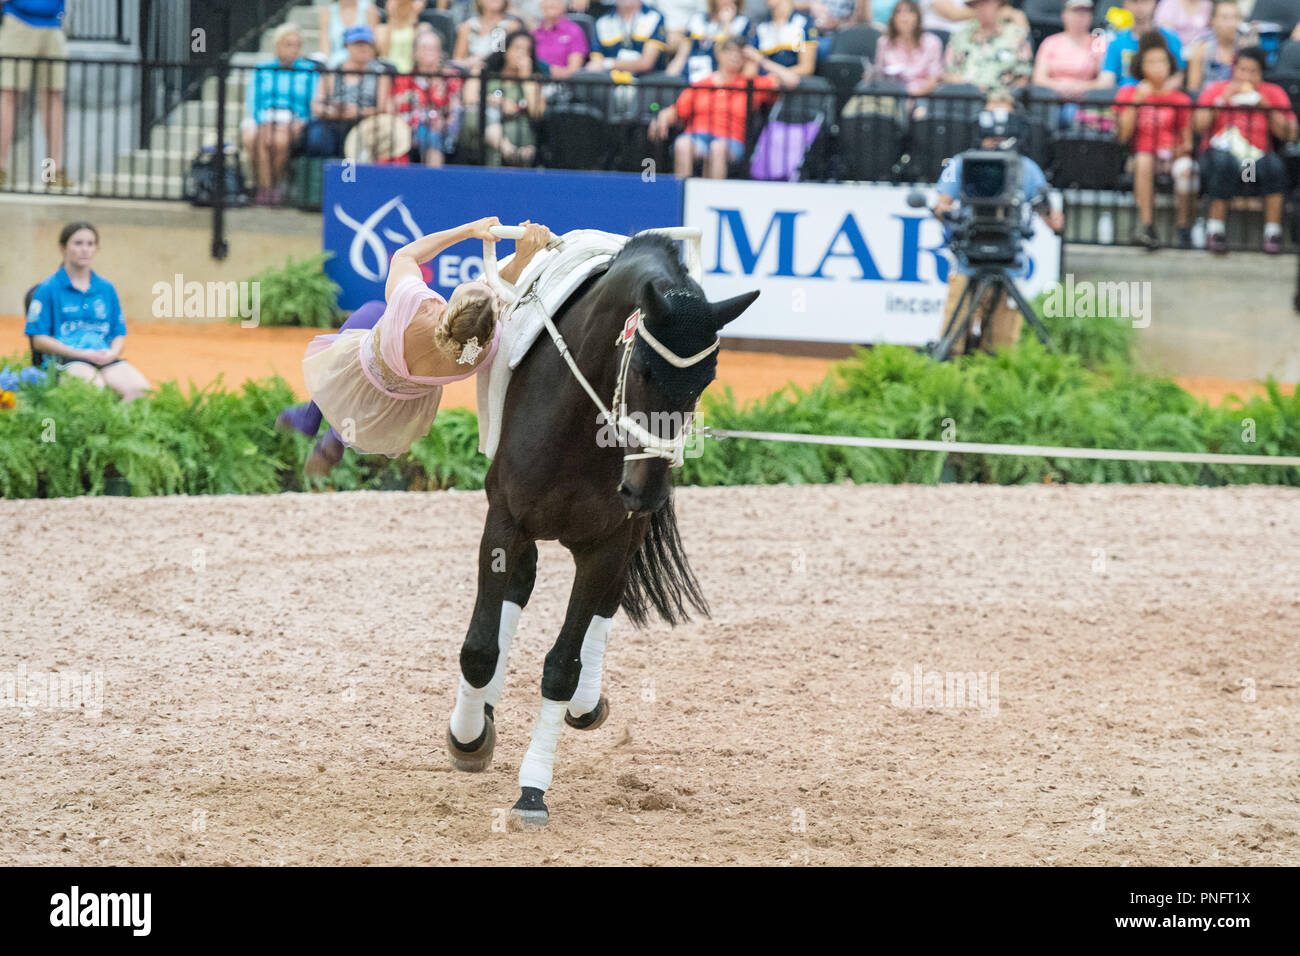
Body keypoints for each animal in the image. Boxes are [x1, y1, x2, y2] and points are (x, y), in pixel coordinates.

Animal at [441, 231, 759, 822]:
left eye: (705, 382)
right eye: (645, 371)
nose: (648, 489)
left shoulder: (609, 543)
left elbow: (563, 665)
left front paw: (532, 790)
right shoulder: (505, 522)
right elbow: (479, 649)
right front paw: (468, 738)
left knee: (604, 607)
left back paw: (586, 704)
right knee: (518, 589)